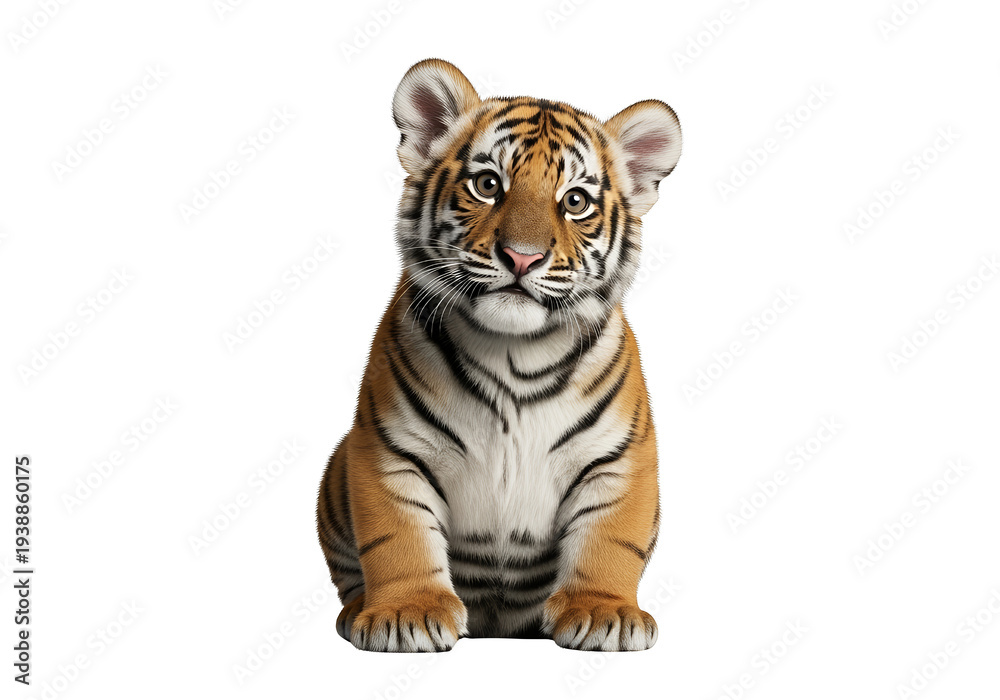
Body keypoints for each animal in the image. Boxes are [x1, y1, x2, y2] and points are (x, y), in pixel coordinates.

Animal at [316, 58, 682, 652]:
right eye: (487, 184)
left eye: (575, 201)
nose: (521, 257)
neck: (514, 354)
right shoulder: (388, 449)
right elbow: (397, 536)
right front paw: (408, 611)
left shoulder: (618, 460)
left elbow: (611, 540)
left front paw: (603, 611)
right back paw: (356, 612)